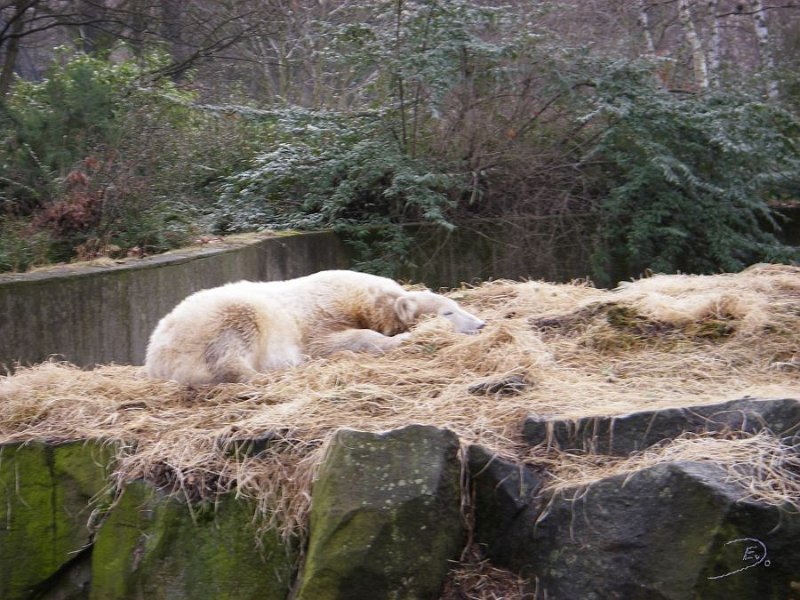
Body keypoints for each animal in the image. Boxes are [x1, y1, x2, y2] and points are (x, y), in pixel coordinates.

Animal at [142, 270, 488, 384]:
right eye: (448, 312)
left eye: (458, 305)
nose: (481, 324)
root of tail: (153, 350)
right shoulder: (319, 318)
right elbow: (333, 341)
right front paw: (402, 339)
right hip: (211, 321)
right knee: (233, 338)